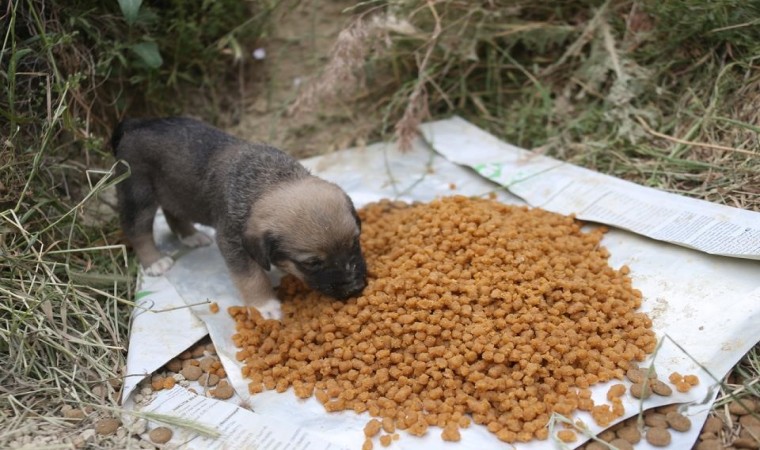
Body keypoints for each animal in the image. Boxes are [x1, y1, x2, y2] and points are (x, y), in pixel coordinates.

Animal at [109, 118, 366, 318]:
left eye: (355, 242)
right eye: (312, 263)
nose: (356, 288)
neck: (270, 180)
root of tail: (134, 125)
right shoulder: (232, 242)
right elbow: (252, 277)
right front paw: (265, 306)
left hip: (175, 191)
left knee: (173, 214)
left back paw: (191, 236)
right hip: (138, 193)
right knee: (137, 229)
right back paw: (154, 261)